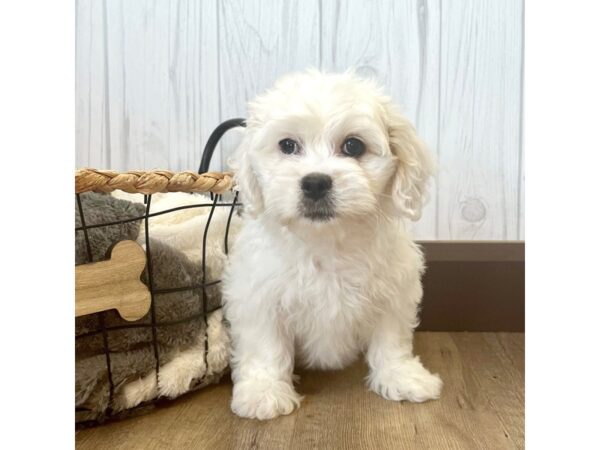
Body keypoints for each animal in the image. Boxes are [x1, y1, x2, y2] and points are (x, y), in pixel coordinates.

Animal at [223, 68, 442, 420]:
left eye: (353, 145)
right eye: (287, 145)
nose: (315, 182)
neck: (326, 240)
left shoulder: (393, 290)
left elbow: (391, 339)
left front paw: (402, 377)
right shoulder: (258, 294)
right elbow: (266, 345)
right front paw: (264, 392)